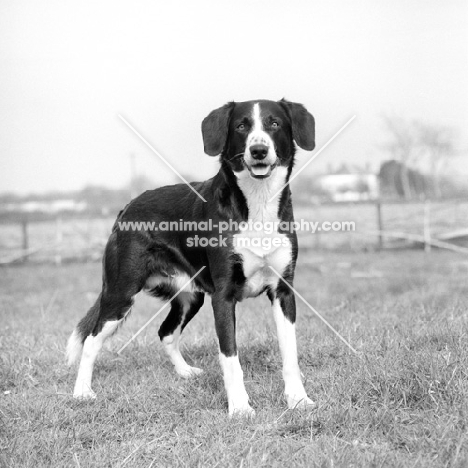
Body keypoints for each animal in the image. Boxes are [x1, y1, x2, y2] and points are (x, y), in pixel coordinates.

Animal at [66, 99, 314, 416]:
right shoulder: (223, 296)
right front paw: (239, 408)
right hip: (120, 293)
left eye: (275, 123)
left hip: (189, 296)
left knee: (166, 332)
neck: (257, 203)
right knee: (91, 340)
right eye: (241, 126)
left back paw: (185, 372)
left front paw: (298, 399)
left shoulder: (283, 291)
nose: (258, 150)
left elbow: (290, 354)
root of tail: (127, 207)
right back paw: (82, 392)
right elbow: (230, 357)